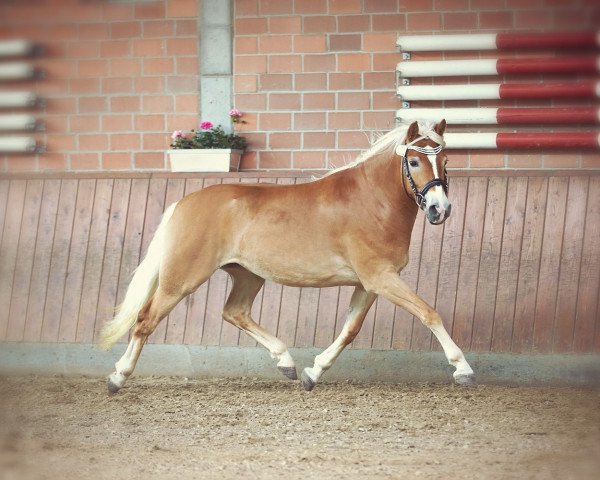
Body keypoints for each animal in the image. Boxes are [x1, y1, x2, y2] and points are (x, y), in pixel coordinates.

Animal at [99, 120, 474, 394]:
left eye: (445, 161)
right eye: (414, 161)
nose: (440, 209)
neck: (371, 201)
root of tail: (183, 203)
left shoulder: (370, 283)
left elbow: (350, 331)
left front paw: (313, 373)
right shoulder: (380, 277)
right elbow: (429, 313)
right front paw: (463, 369)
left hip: (247, 275)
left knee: (234, 312)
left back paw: (286, 362)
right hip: (183, 277)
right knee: (146, 319)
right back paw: (117, 377)